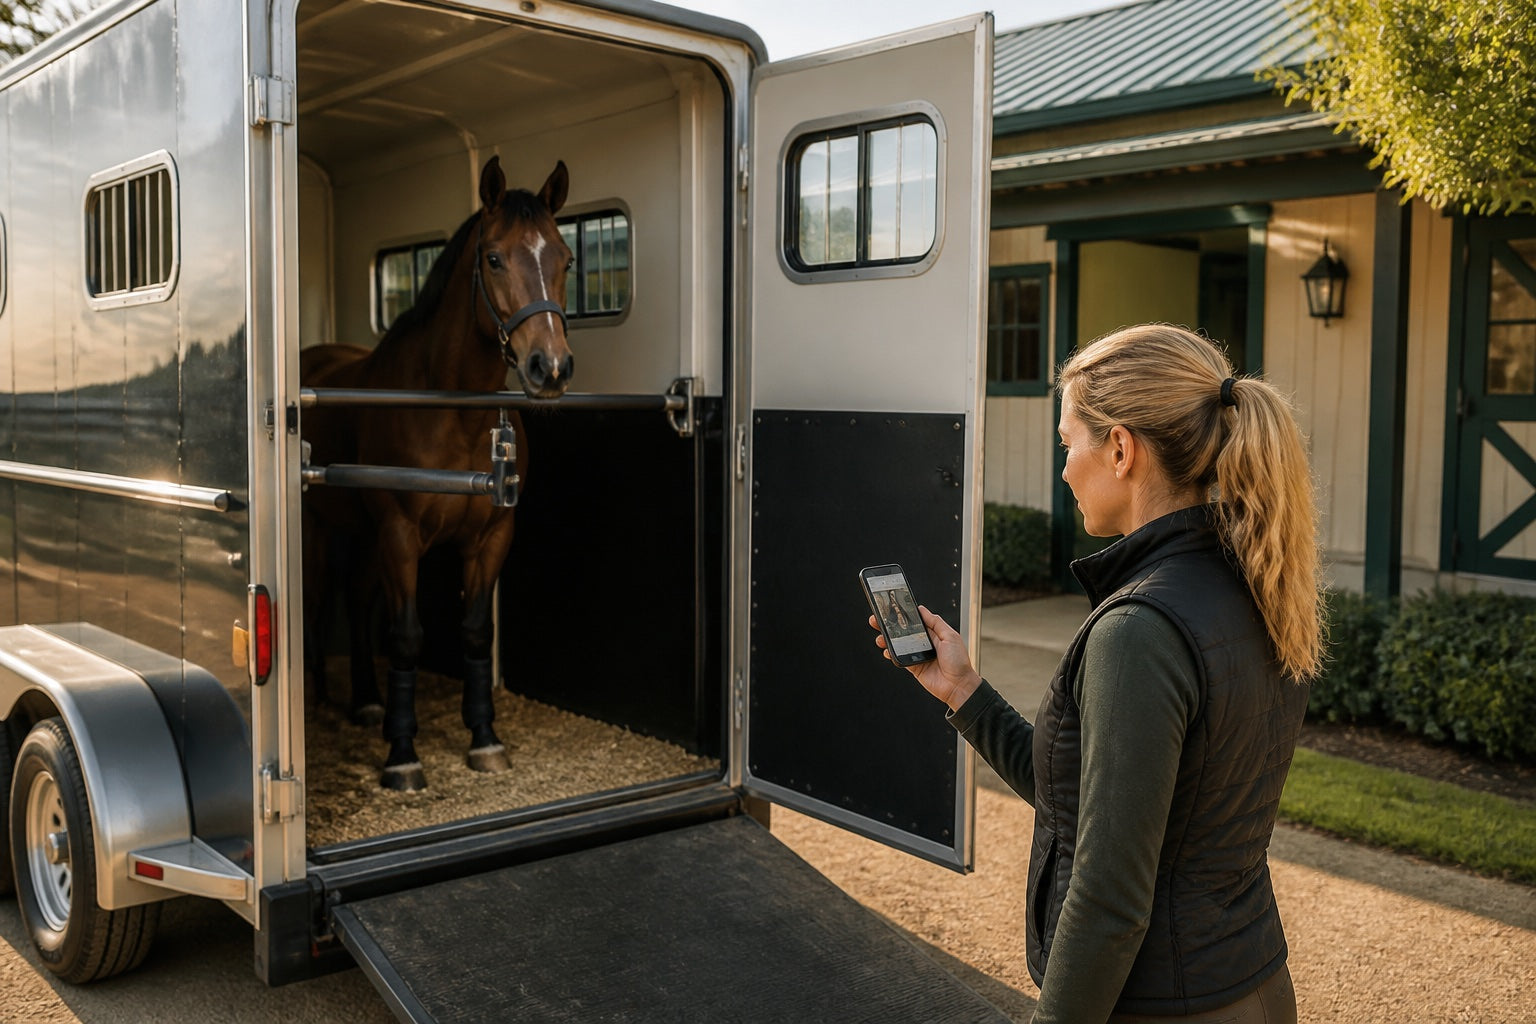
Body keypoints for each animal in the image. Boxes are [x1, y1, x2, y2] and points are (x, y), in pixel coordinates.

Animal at [301, 155, 573, 791]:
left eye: (565, 257)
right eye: (494, 257)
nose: (549, 367)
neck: (453, 415)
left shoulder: (492, 537)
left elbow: (474, 631)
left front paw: (485, 739)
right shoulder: (401, 535)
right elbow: (406, 637)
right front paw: (402, 755)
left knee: (357, 599)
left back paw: (366, 702)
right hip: (323, 530)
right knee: (318, 598)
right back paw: (319, 701)